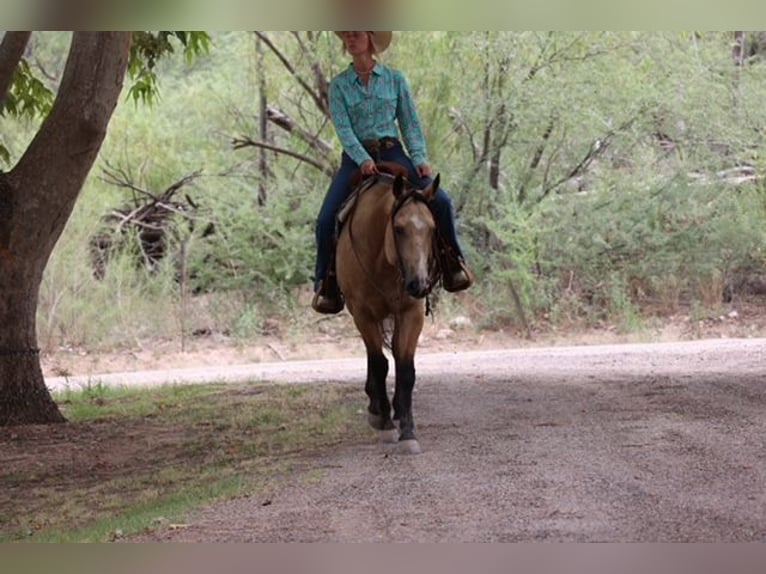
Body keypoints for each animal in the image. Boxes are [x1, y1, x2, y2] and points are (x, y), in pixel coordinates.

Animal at [338, 164, 440, 456]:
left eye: (432, 228)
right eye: (398, 228)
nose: (419, 284)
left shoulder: (411, 313)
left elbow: (405, 368)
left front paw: (407, 430)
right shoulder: (362, 313)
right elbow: (379, 363)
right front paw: (383, 420)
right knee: (375, 358)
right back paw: (377, 409)